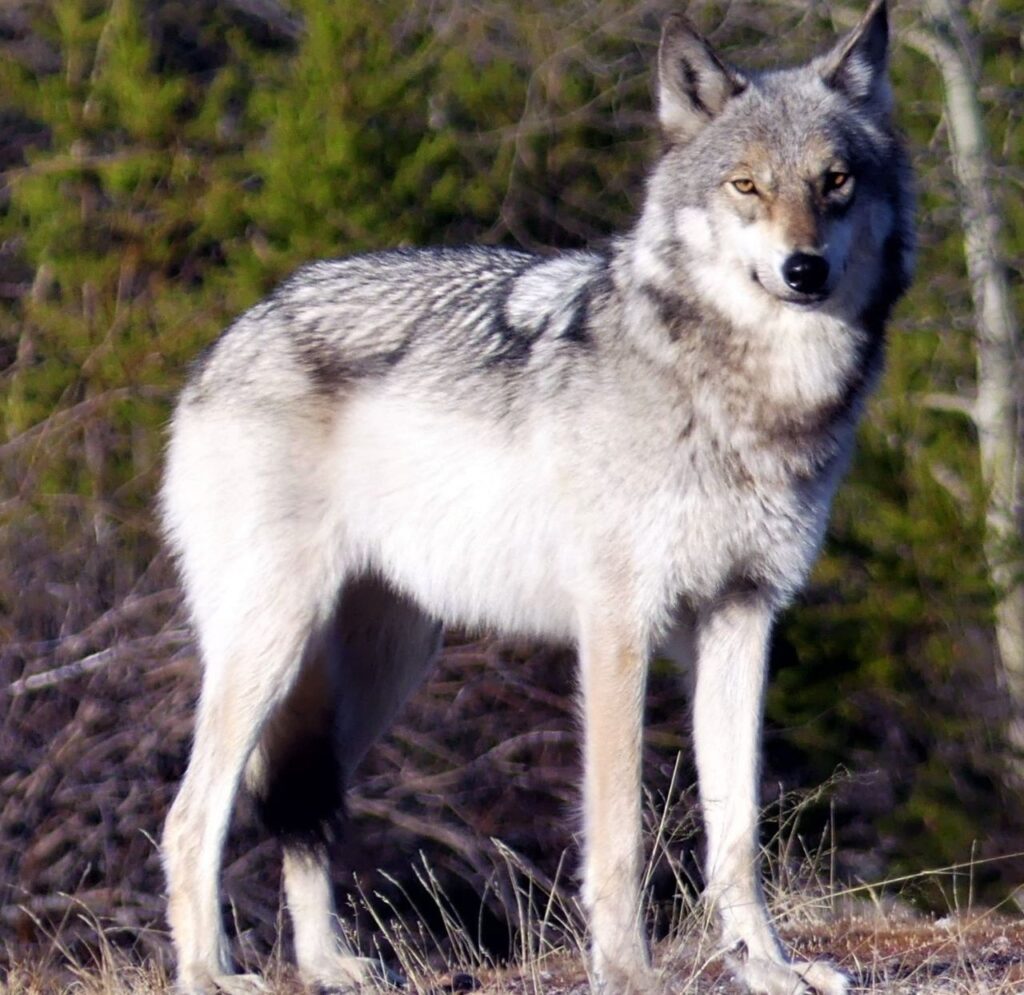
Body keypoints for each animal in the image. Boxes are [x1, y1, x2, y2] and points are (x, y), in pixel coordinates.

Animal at [160, 2, 912, 993]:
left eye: (835, 182)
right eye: (747, 185)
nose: (804, 270)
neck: (744, 395)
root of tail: (234, 333)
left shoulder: (744, 614)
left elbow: (738, 831)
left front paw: (770, 969)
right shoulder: (618, 623)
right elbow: (619, 830)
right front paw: (629, 972)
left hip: (382, 666)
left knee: (306, 810)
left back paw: (331, 964)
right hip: (273, 643)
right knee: (191, 817)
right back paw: (210, 971)